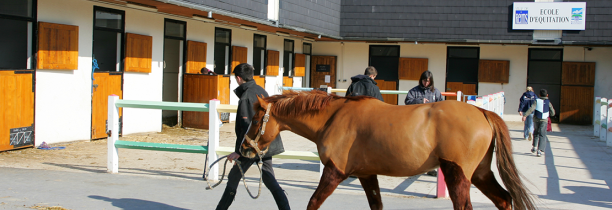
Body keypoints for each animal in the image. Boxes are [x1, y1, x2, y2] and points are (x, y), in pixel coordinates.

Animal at [239, 91, 536, 210]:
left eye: (254, 119)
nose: (244, 149)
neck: (333, 117)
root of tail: (482, 112)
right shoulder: (367, 175)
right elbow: (376, 205)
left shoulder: (334, 173)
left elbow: (313, 202)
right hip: (480, 173)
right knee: (504, 199)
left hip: (458, 173)